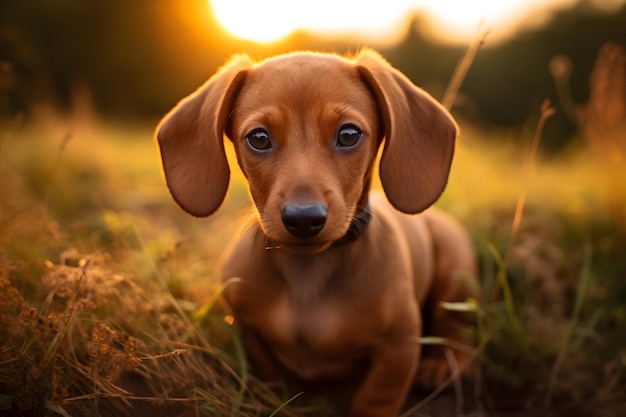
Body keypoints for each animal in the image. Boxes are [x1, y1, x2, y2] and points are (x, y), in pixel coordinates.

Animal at [156, 49, 478, 416]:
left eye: (349, 135)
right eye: (259, 138)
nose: (303, 218)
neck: (308, 276)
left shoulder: (399, 344)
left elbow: (375, 398)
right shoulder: (249, 329)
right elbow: (271, 373)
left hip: (454, 274)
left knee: (457, 326)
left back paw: (443, 365)